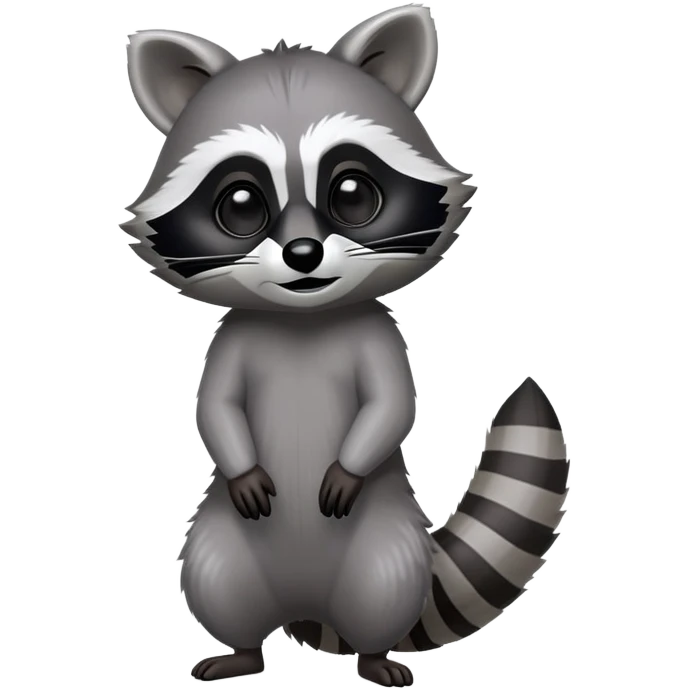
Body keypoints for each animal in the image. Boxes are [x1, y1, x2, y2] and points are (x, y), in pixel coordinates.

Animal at [122, 5, 569, 687]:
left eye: (352, 194)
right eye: (241, 204)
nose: (302, 254)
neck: (306, 319)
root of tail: (304, 607)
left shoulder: (376, 330)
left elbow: (393, 404)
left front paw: (350, 465)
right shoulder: (234, 336)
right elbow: (213, 406)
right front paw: (240, 463)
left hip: (384, 550)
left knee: (383, 591)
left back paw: (375, 655)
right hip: (222, 542)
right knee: (216, 585)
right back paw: (240, 652)